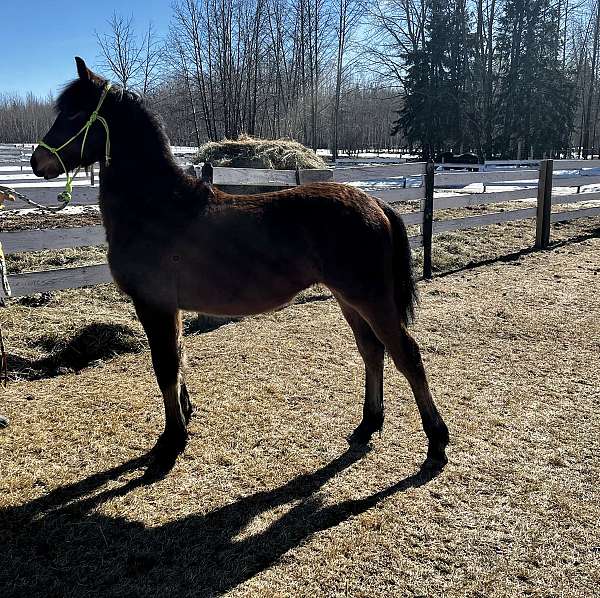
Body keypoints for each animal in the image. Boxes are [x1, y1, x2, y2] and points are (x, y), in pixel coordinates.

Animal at [30, 58, 448, 480]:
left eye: (76, 113)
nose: (37, 161)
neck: (157, 207)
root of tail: (375, 202)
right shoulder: (170, 309)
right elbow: (178, 360)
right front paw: (184, 419)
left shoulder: (154, 305)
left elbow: (165, 366)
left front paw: (170, 444)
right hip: (350, 299)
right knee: (372, 351)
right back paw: (367, 425)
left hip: (371, 298)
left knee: (407, 356)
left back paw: (436, 444)